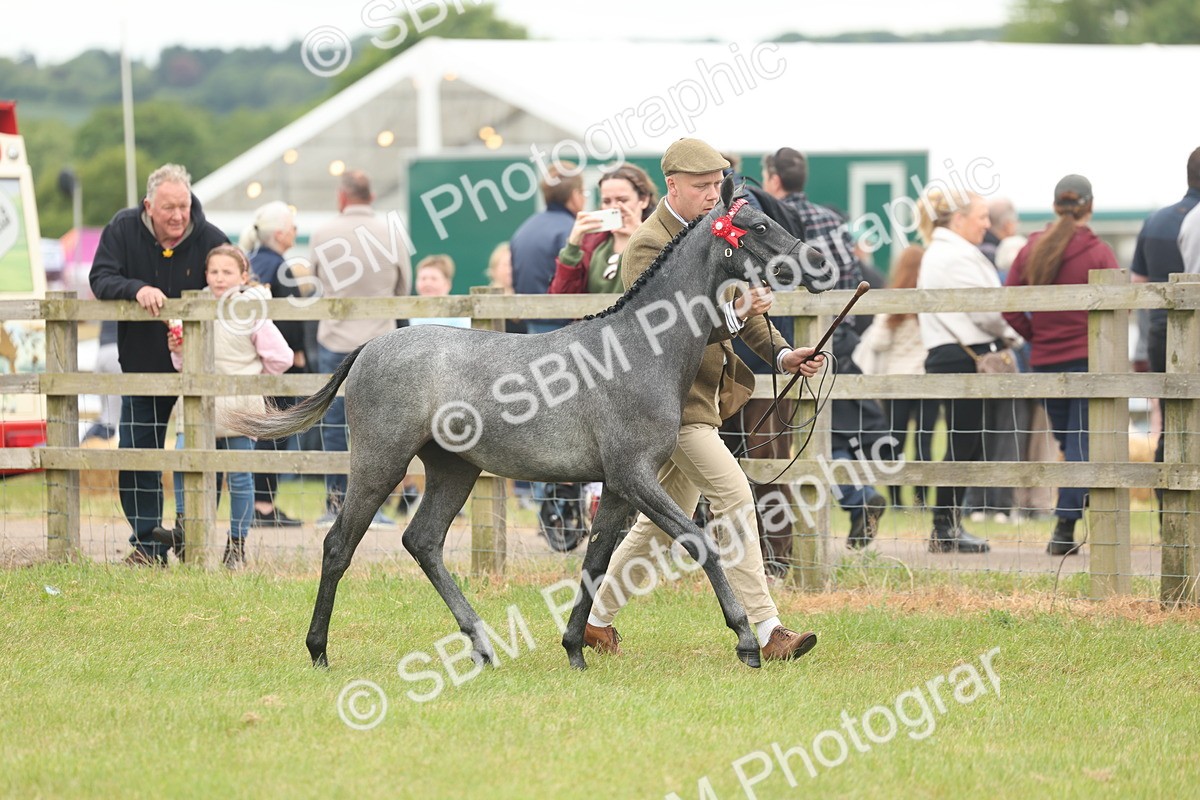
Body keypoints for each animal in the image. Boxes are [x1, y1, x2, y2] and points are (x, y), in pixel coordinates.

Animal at [223, 176, 834, 671]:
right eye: (758, 225)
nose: (820, 265)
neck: (637, 350)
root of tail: (373, 345)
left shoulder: (618, 485)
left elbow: (596, 559)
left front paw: (575, 648)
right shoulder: (634, 475)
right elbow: (698, 542)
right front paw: (747, 642)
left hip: (453, 470)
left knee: (423, 541)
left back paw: (482, 646)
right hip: (380, 462)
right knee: (339, 545)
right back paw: (319, 651)